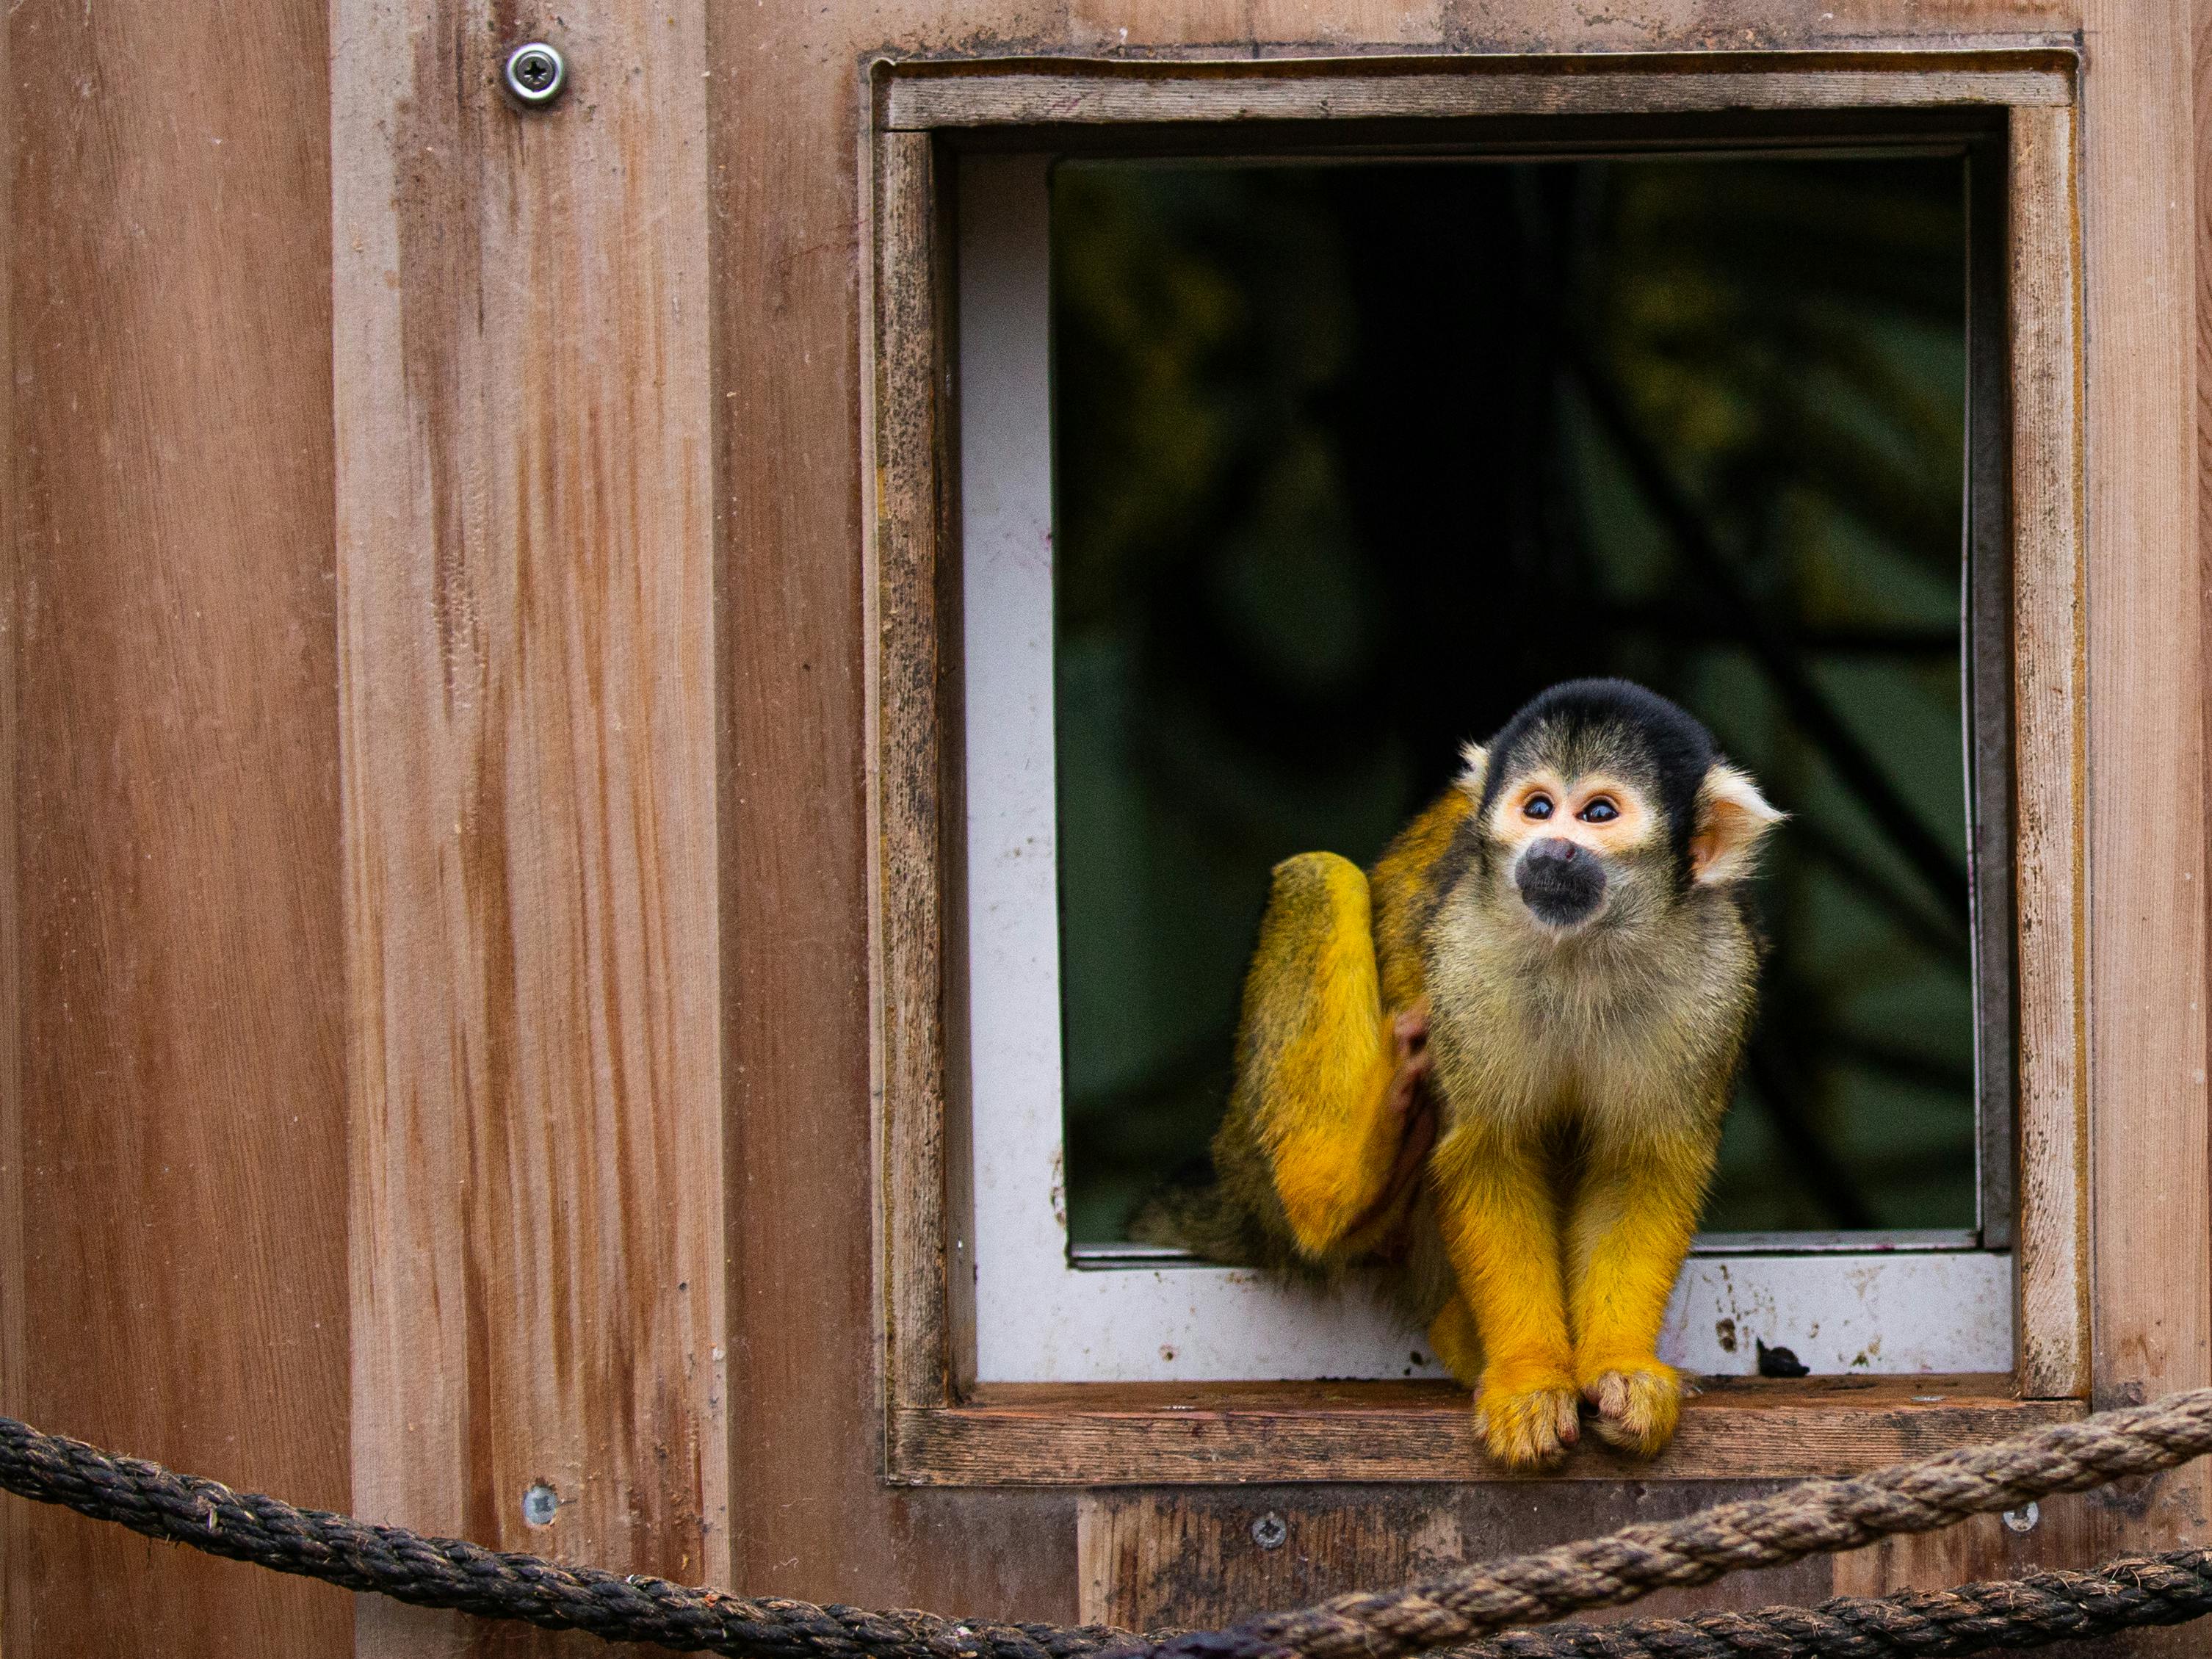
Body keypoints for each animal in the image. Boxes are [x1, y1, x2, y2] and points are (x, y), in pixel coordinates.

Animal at [1129, 679, 1783, 1470]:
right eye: (1538, 807)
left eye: (1598, 813)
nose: (1550, 848)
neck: (1582, 948)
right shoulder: (1463, 957)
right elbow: (1488, 1152)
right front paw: (1528, 1378)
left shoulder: (1717, 975)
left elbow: (1641, 1165)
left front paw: (1621, 1368)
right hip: (1255, 1157)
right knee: (1318, 875)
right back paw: (1351, 1185)